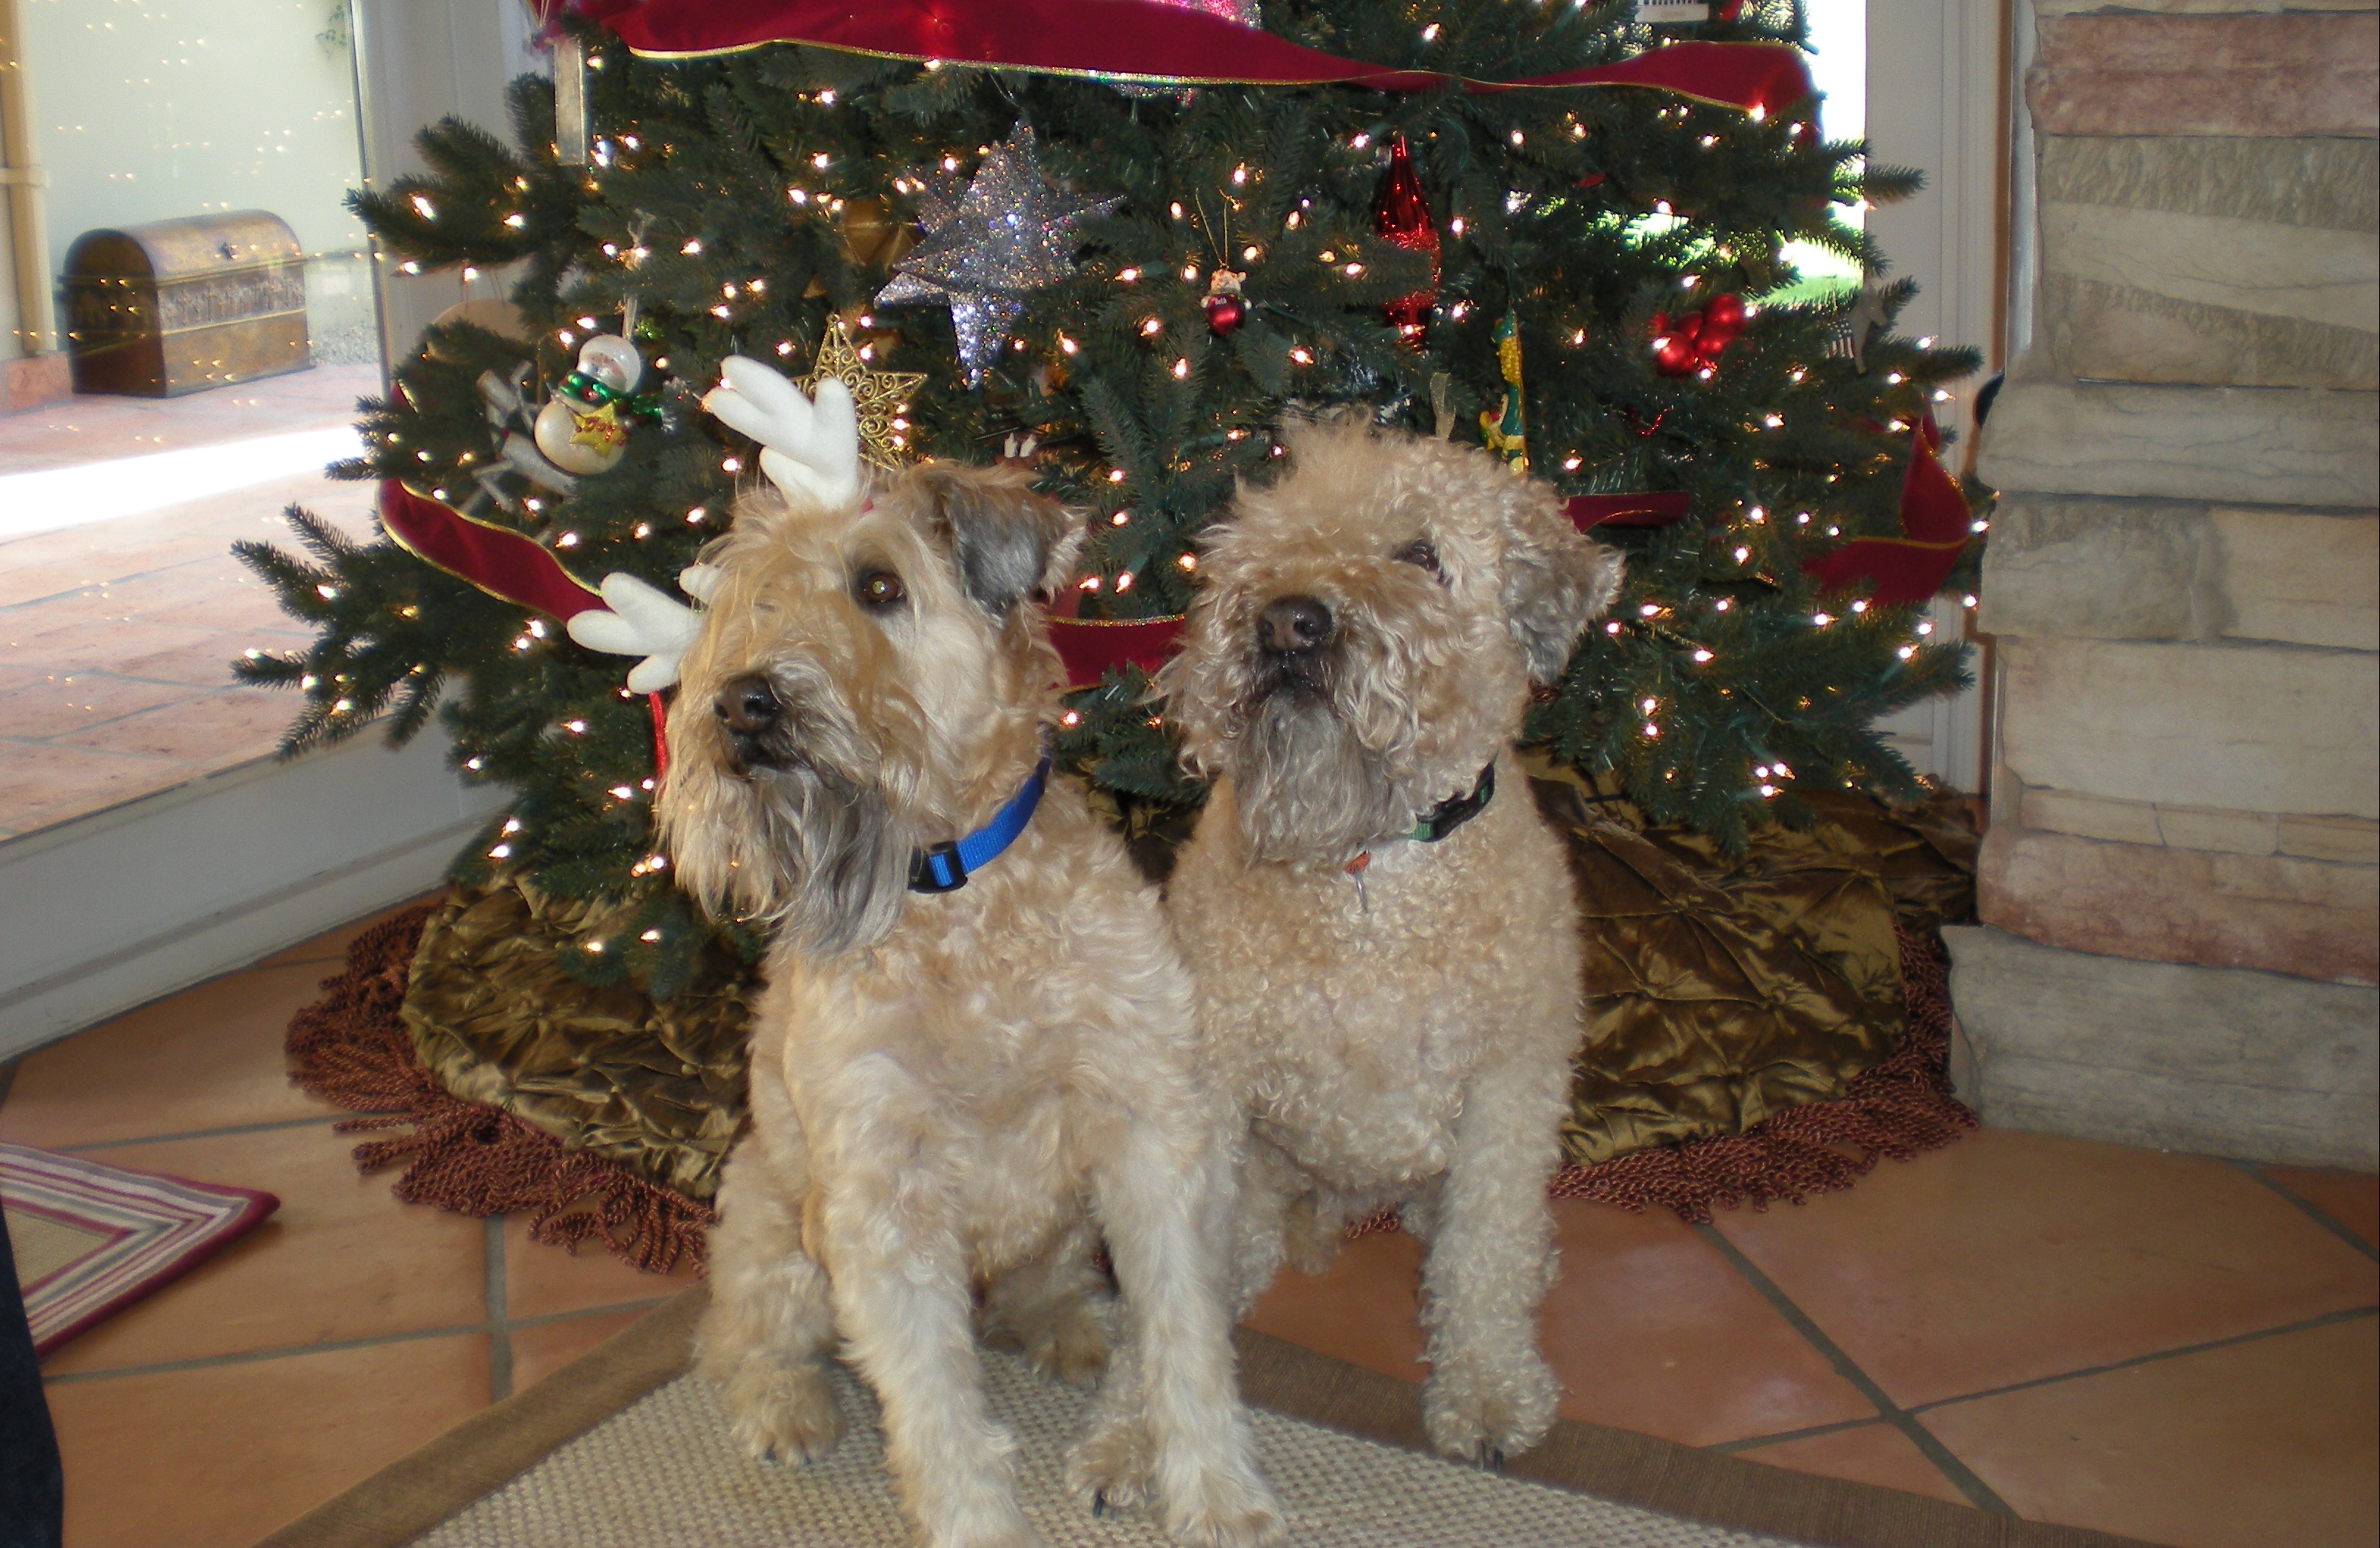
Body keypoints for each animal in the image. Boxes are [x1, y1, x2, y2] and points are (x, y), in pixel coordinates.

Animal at [659, 360, 1280, 1548]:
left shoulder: (1149, 1137)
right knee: (738, 1339)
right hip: (774, 1218)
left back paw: (1069, 1327)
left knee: (1048, 1291)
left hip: (1063, 1216)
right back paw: (787, 1405)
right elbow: (936, 1411)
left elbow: (1185, 1345)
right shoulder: (877, 1202)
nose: (738, 702)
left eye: (878, 587)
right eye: (758, 601)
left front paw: (1217, 1495)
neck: (955, 899)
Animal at [1159, 416, 1622, 1466]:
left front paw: (1485, 1393)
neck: (1363, 876)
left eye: (1421, 554)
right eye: (1261, 535)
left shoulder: (1505, 1089)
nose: (1286, 621)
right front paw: (1133, 1430)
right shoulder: (1210, 1088)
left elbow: (1483, 1254)